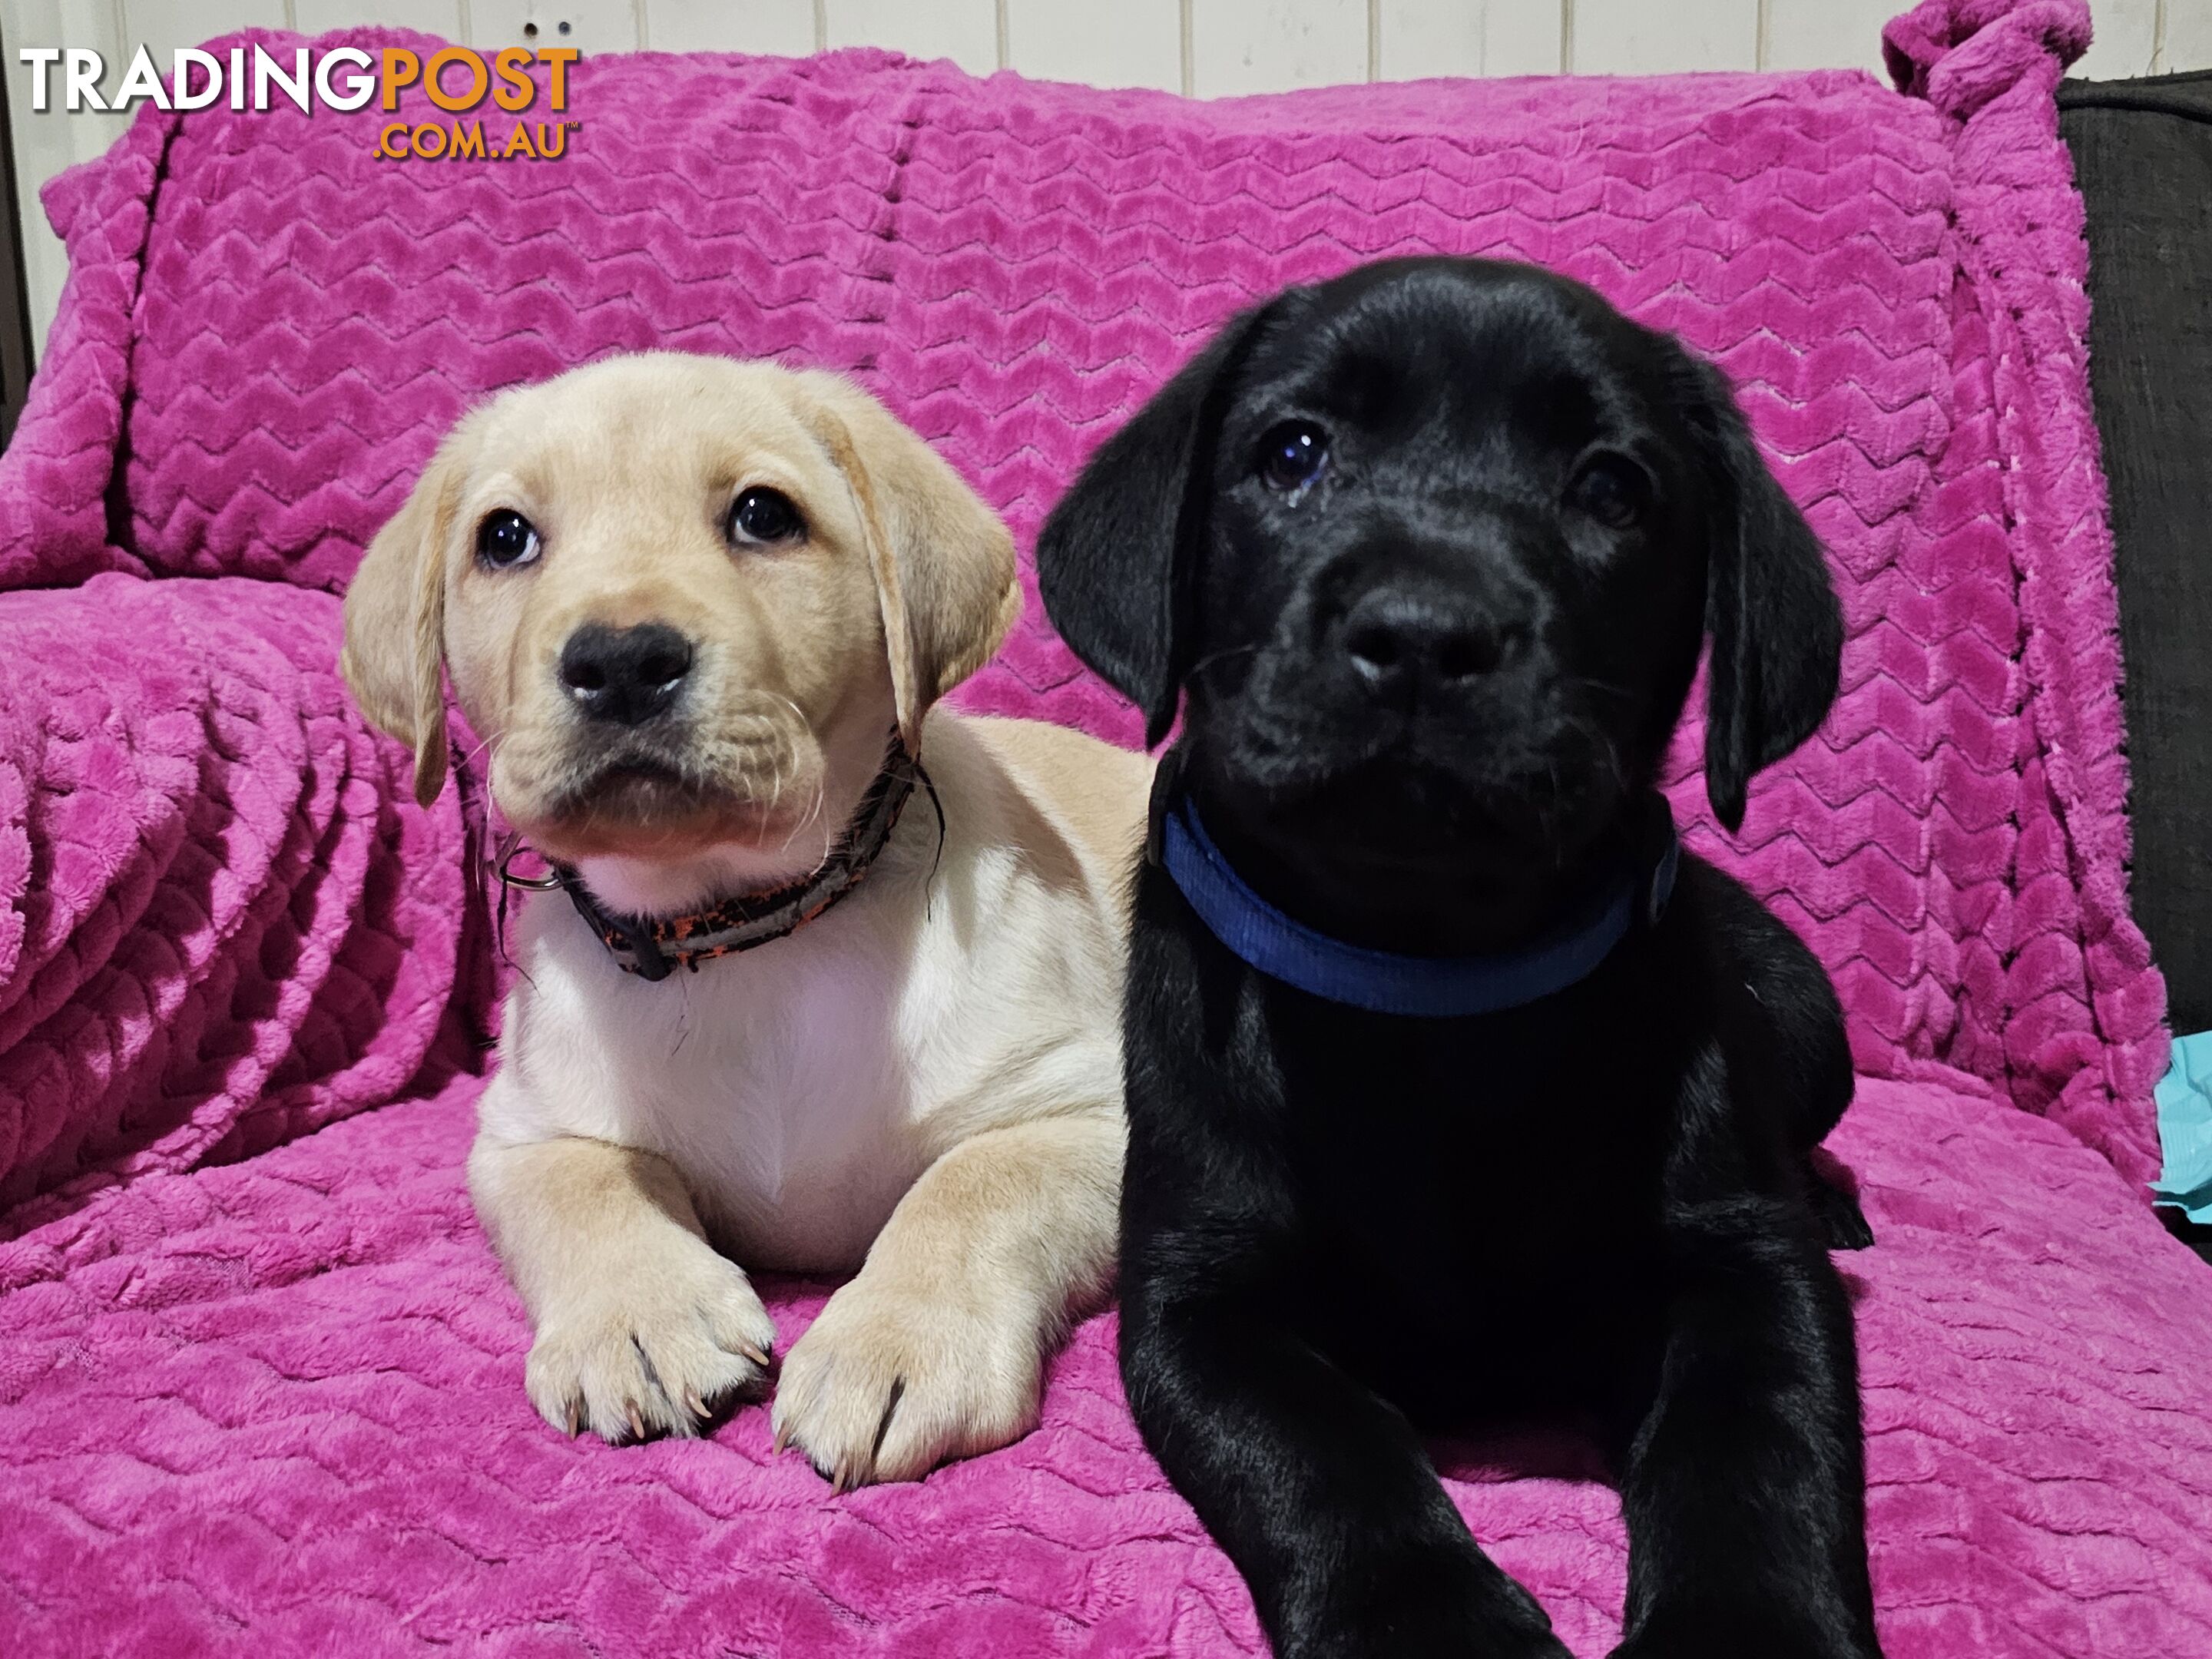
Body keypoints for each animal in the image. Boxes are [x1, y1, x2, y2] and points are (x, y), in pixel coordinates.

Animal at [343, 347, 1150, 1477]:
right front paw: (640, 1316)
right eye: (505, 538)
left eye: (764, 516)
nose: (621, 661)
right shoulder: (523, 1129)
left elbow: (970, 1190)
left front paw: (894, 1340)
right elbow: (590, 1185)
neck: (746, 927)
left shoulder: (1084, 1111)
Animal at [1035, 260, 1884, 1659]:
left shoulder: (1743, 1266)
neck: (1427, 979)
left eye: (1612, 489)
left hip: (1810, 1026)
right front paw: (1428, 1622)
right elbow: (1319, 1447)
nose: (1428, 632)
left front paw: (1748, 1629)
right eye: (1293, 453)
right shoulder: (1203, 1298)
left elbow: (1759, 1436)